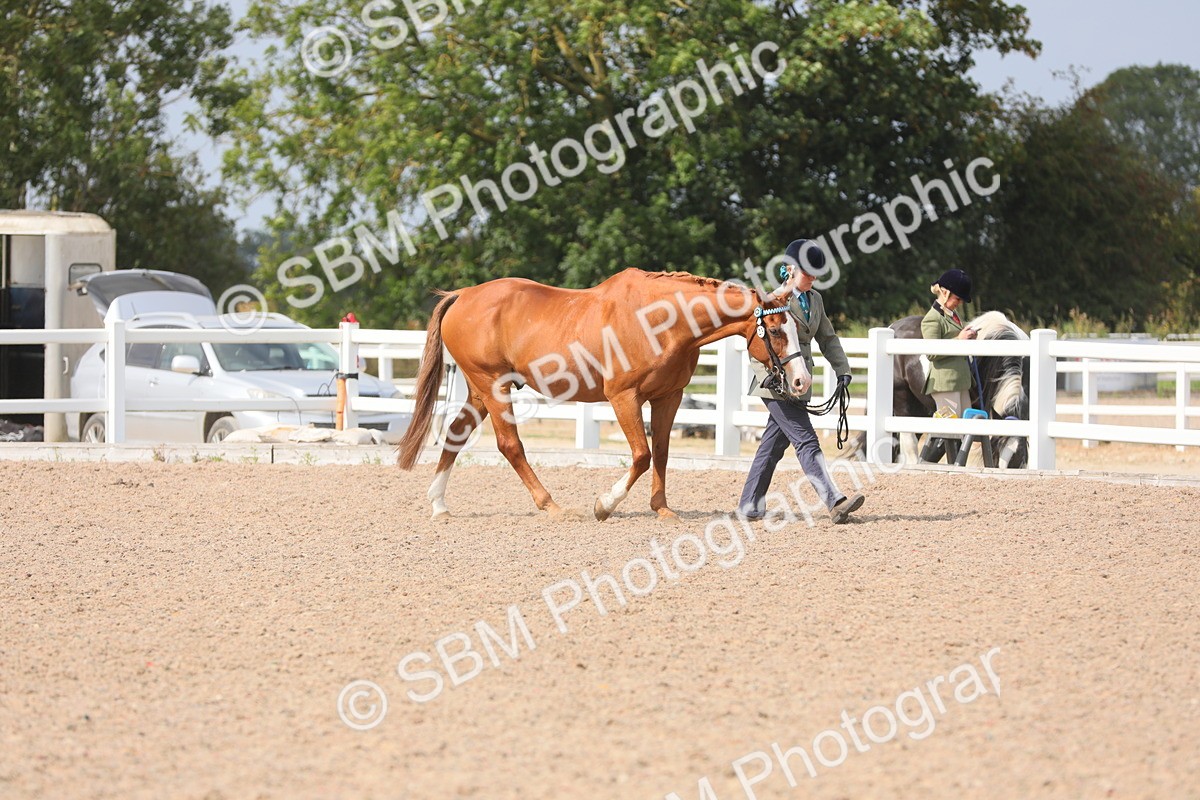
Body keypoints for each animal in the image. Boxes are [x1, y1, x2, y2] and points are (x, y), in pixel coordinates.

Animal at [396, 269, 810, 521]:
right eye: (774, 330)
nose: (802, 382)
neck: (660, 320)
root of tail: (463, 295)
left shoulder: (669, 397)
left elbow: (661, 453)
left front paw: (662, 509)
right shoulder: (624, 397)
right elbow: (641, 456)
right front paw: (604, 505)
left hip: (480, 391)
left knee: (456, 434)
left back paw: (439, 505)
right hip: (494, 386)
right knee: (509, 445)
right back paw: (552, 506)